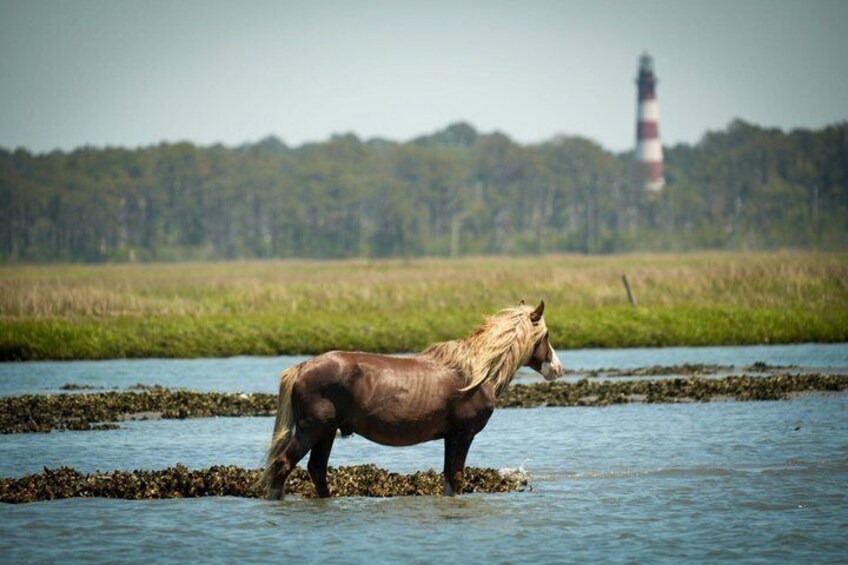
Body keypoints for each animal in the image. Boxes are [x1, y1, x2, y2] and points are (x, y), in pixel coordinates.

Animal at [261, 300, 563, 499]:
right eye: (546, 335)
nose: (557, 369)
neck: (476, 372)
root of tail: (301, 367)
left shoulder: (450, 437)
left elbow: (448, 478)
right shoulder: (463, 434)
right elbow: (456, 476)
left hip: (326, 433)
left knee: (317, 470)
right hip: (312, 430)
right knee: (282, 466)